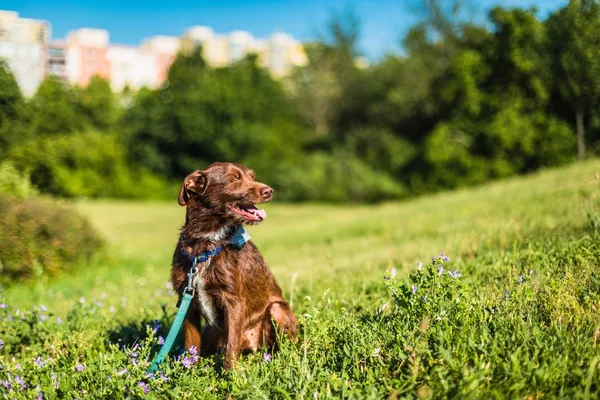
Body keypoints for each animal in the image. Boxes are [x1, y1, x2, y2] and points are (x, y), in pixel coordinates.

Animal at [171, 161, 298, 368]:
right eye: (234, 179)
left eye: (253, 177)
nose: (269, 191)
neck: (208, 242)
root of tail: (253, 347)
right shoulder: (186, 301)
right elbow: (191, 345)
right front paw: (189, 371)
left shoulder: (234, 301)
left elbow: (231, 348)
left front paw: (230, 375)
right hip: (212, 331)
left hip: (277, 310)